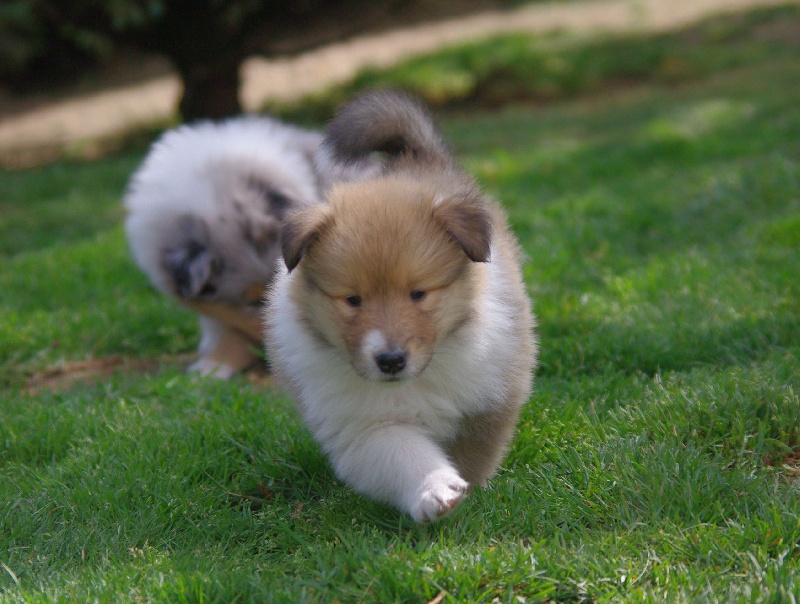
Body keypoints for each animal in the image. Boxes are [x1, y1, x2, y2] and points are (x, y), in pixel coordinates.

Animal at [264, 90, 537, 522]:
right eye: (353, 300)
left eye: (418, 294)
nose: (390, 360)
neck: (419, 377)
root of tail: (417, 160)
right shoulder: (362, 426)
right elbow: (401, 453)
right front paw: (436, 490)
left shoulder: (491, 396)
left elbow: (474, 451)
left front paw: (471, 489)